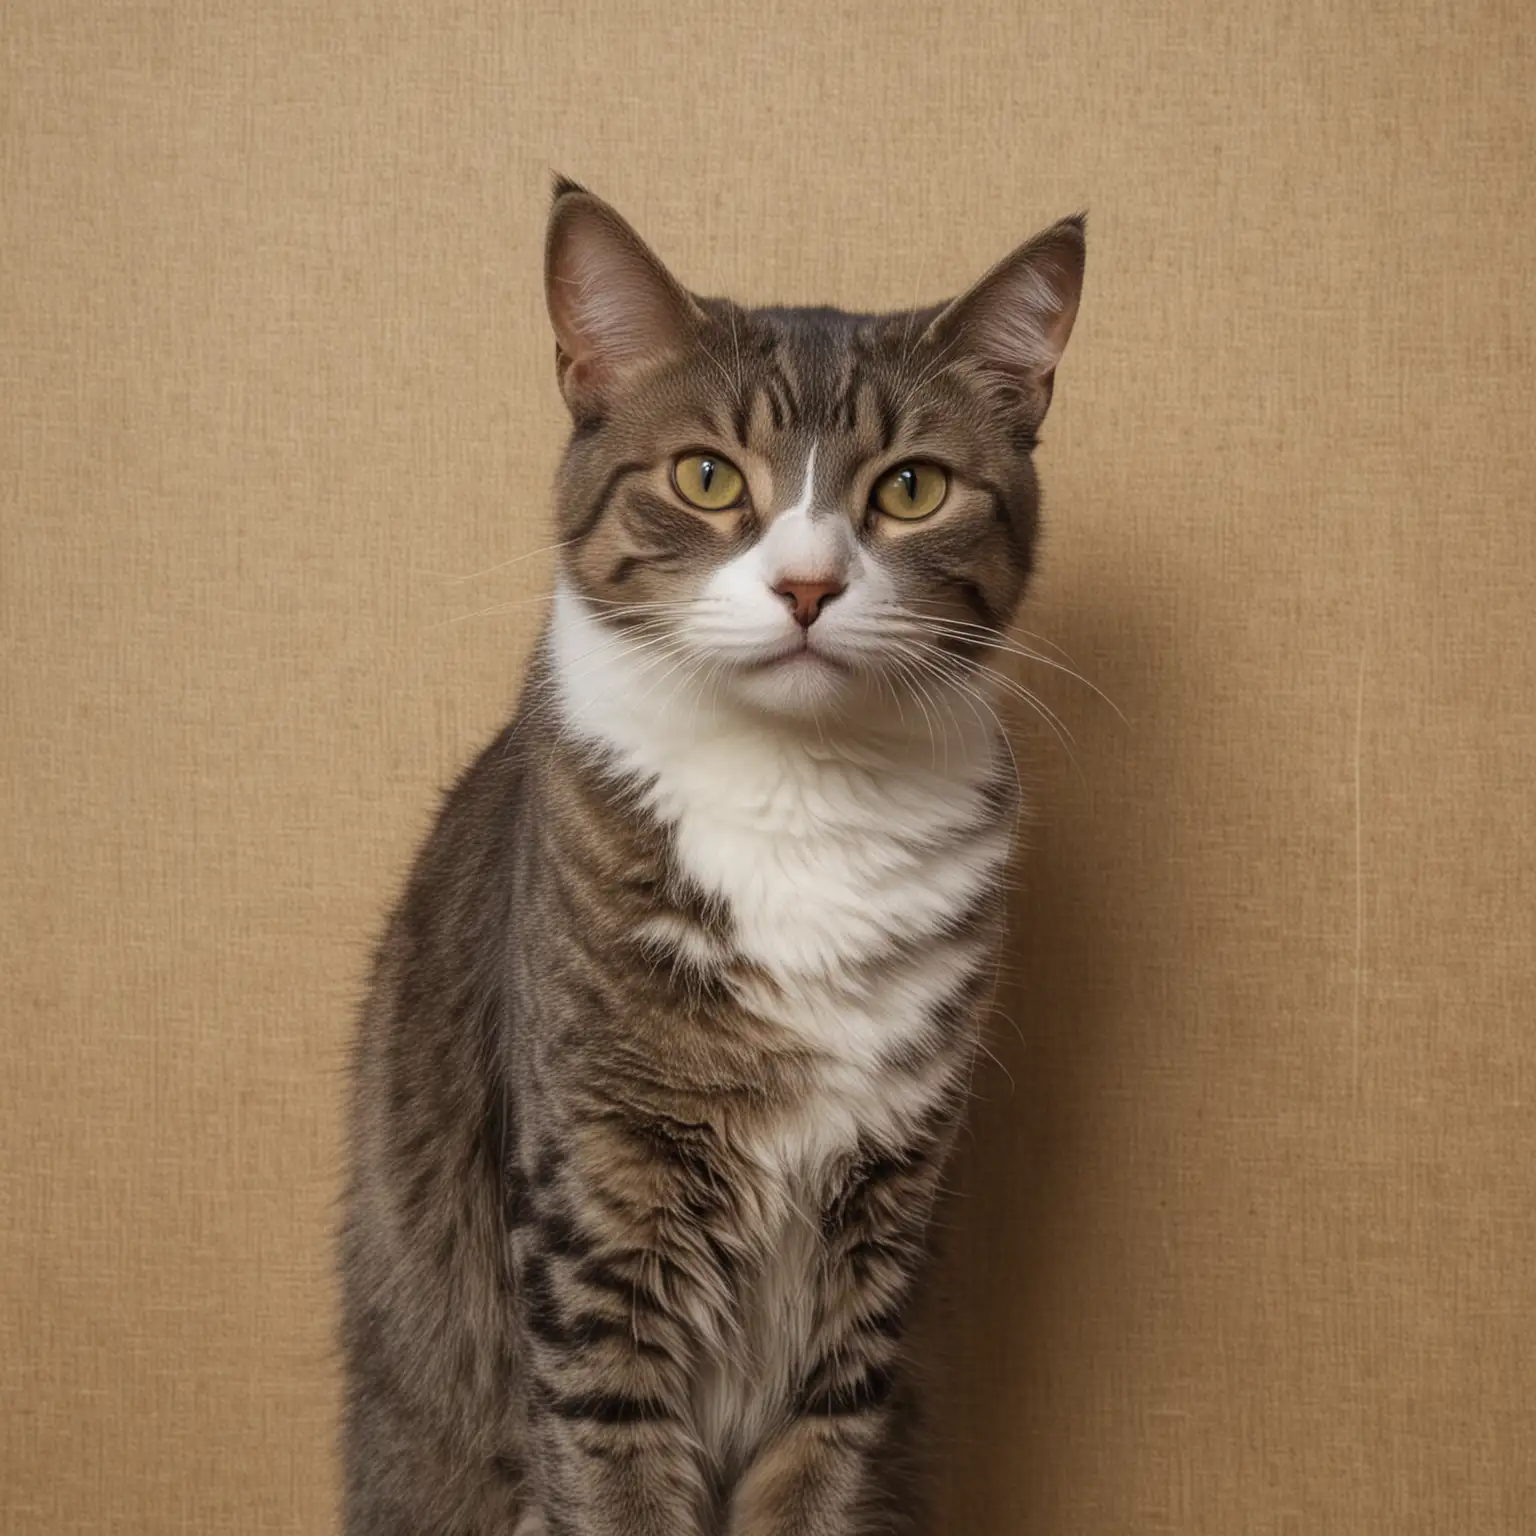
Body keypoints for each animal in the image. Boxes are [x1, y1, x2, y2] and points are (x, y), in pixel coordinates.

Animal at [342, 174, 1087, 1529]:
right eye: (703, 475)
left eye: (912, 488)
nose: (807, 585)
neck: (797, 797)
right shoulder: (598, 1214)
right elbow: (611, 1466)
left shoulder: (875, 1240)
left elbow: (818, 1467)